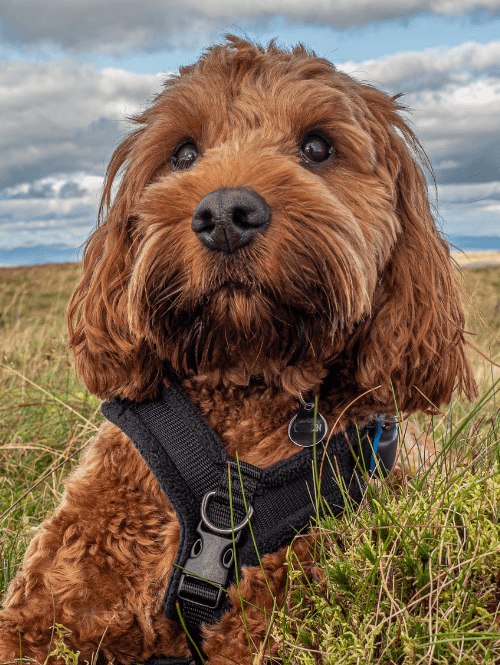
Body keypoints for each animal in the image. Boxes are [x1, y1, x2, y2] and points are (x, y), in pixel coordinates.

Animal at [0, 36, 476, 664]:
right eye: (183, 153)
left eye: (317, 147)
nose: (225, 214)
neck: (244, 382)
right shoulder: (46, 610)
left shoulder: (283, 615)